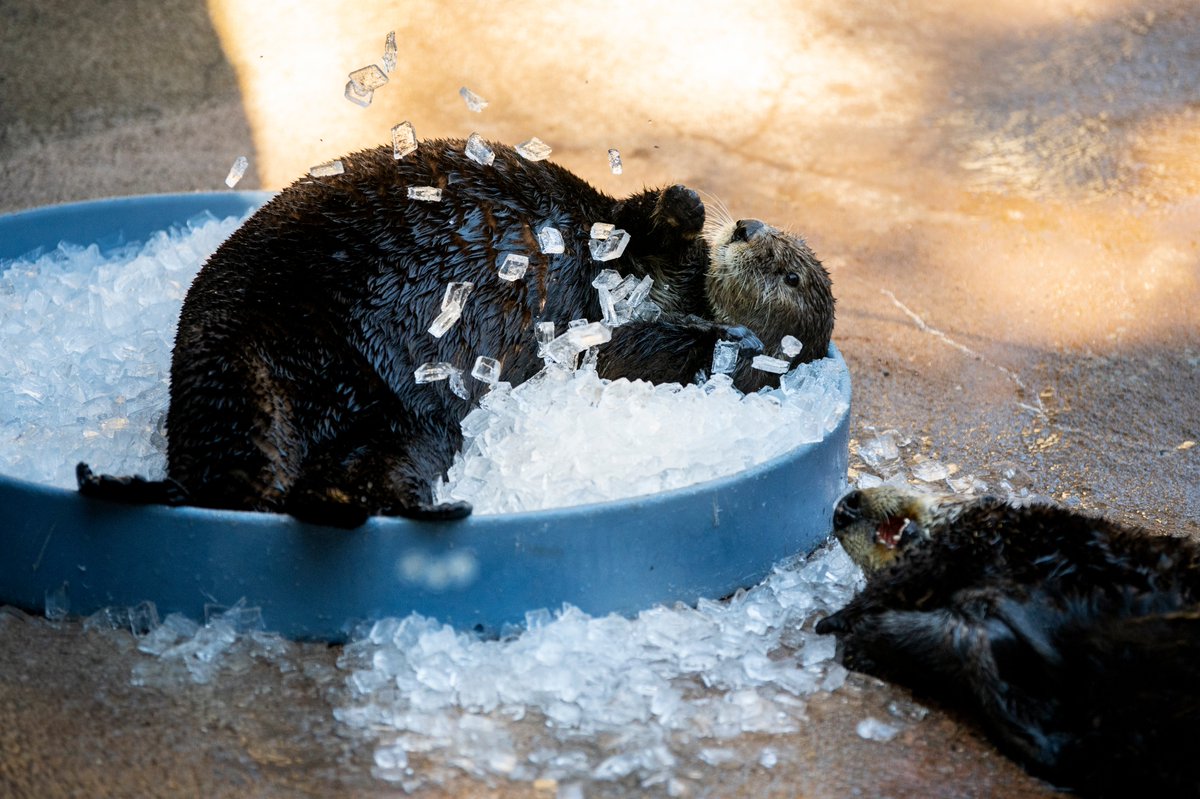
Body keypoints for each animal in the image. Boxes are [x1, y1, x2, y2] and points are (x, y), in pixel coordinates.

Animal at [77, 138, 834, 526]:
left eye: (790, 273)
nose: (751, 229)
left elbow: (643, 348)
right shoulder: (632, 240)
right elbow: (641, 217)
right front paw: (689, 204)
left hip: (404, 424)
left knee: (322, 478)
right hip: (242, 345)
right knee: (232, 471)